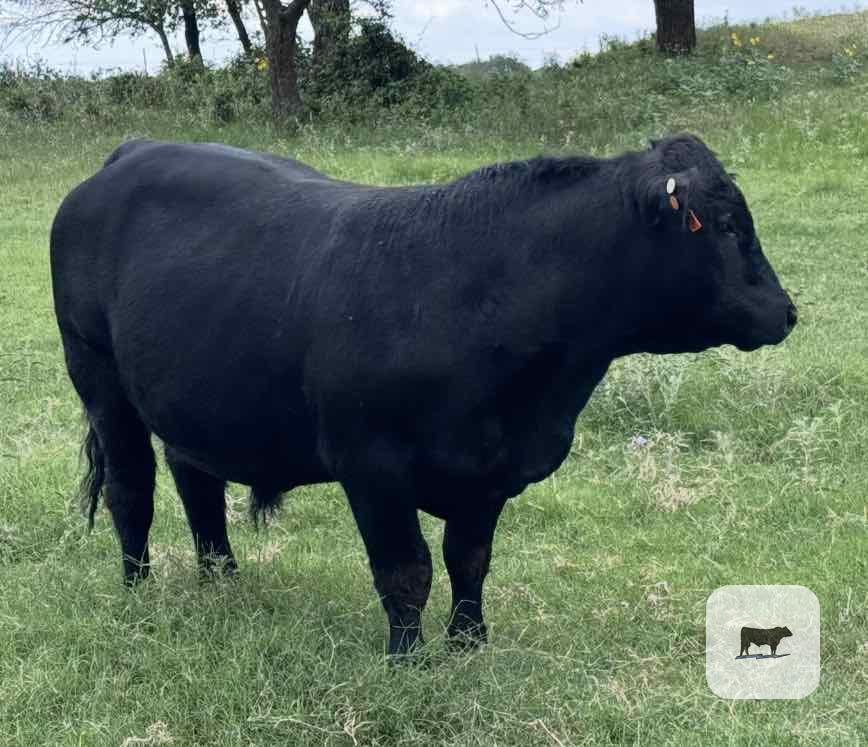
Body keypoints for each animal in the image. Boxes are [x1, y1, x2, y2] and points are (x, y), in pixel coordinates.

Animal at [50, 133, 797, 656]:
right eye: (727, 226)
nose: (785, 312)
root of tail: (131, 152)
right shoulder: (371, 466)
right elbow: (405, 571)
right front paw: (407, 660)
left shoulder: (490, 472)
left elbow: (470, 561)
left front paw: (469, 646)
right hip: (99, 378)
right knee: (131, 488)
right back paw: (140, 592)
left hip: (194, 393)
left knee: (196, 481)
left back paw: (222, 582)